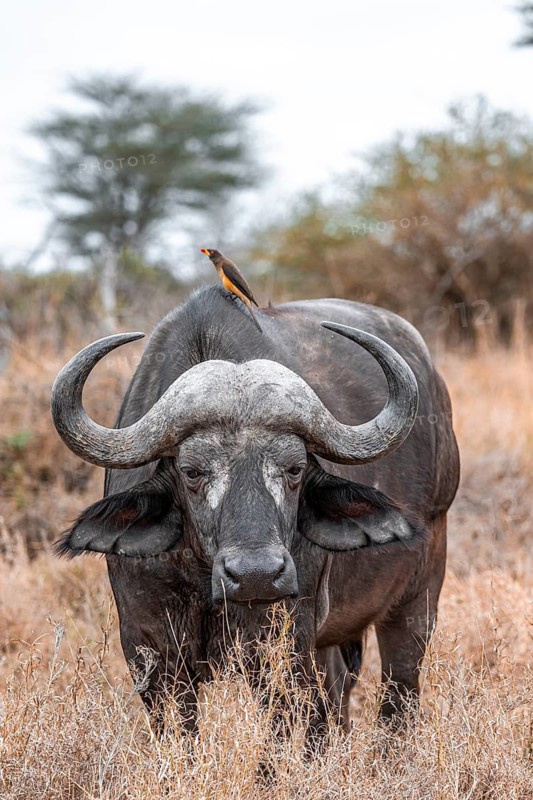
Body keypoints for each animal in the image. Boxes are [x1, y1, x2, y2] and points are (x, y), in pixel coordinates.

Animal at [51, 286, 459, 732]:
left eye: (295, 468)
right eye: (192, 471)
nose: (255, 575)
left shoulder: (283, 643)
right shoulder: (148, 645)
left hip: (419, 595)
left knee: (398, 691)